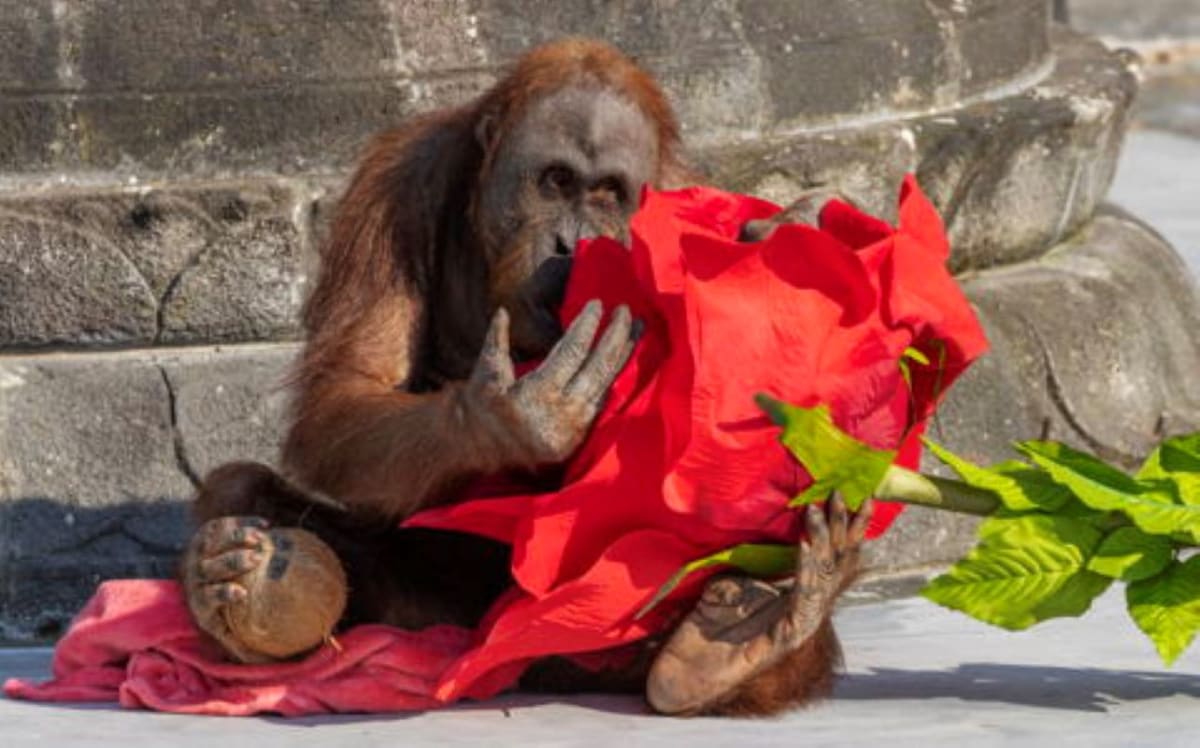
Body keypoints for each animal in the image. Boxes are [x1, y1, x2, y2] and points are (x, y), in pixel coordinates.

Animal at [181, 37, 870, 716]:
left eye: (607, 192)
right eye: (556, 181)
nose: (571, 242)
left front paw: (798, 229)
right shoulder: (396, 188)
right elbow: (346, 391)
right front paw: (515, 417)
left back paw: (737, 645)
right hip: (442, 617)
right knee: (243, 493)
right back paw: (229, 578)